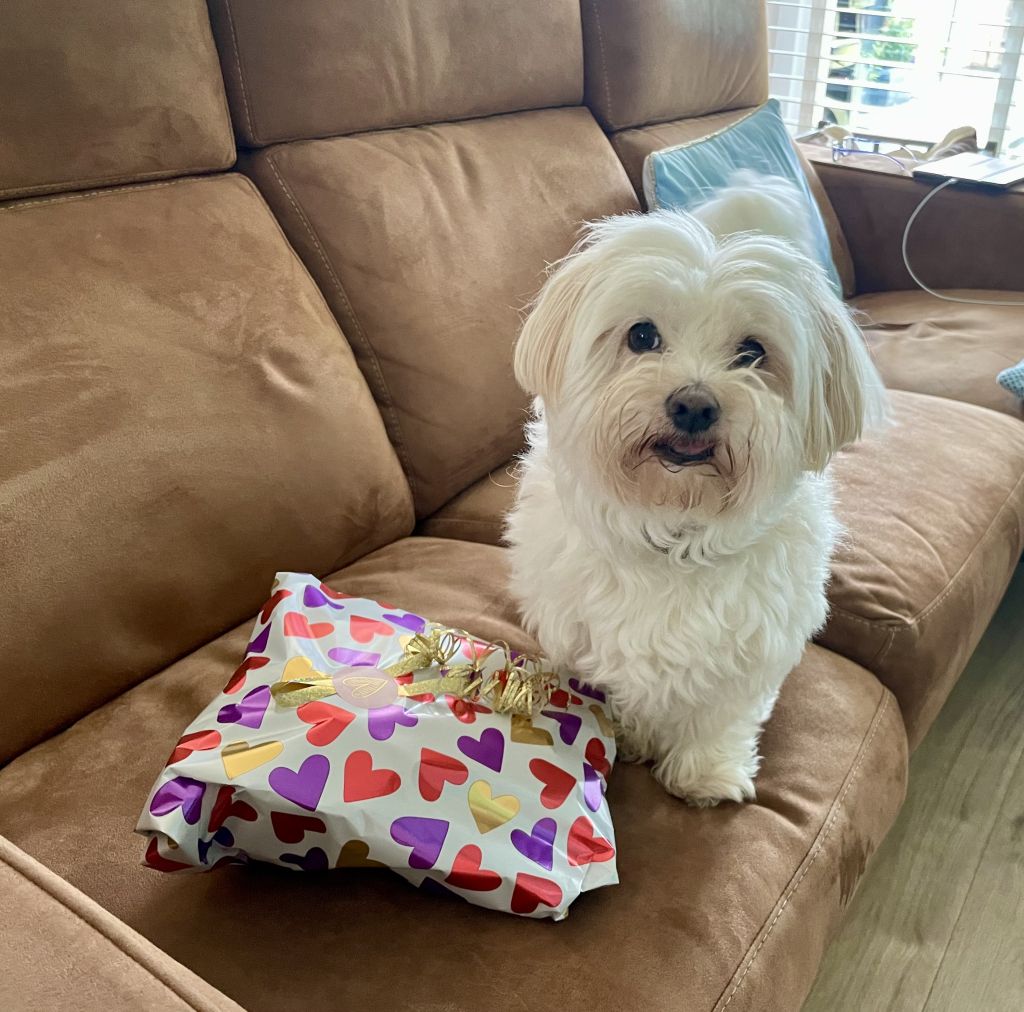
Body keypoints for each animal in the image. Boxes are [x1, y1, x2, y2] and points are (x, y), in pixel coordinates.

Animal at [505, 181, 885, 806]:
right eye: (642, 335)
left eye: (752, 352)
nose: (693, 405)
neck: (673, 527)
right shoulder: (581, 639)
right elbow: (618, 686)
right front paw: (632, 736)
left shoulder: (752, 649)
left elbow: (720, 714)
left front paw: (706, 772)